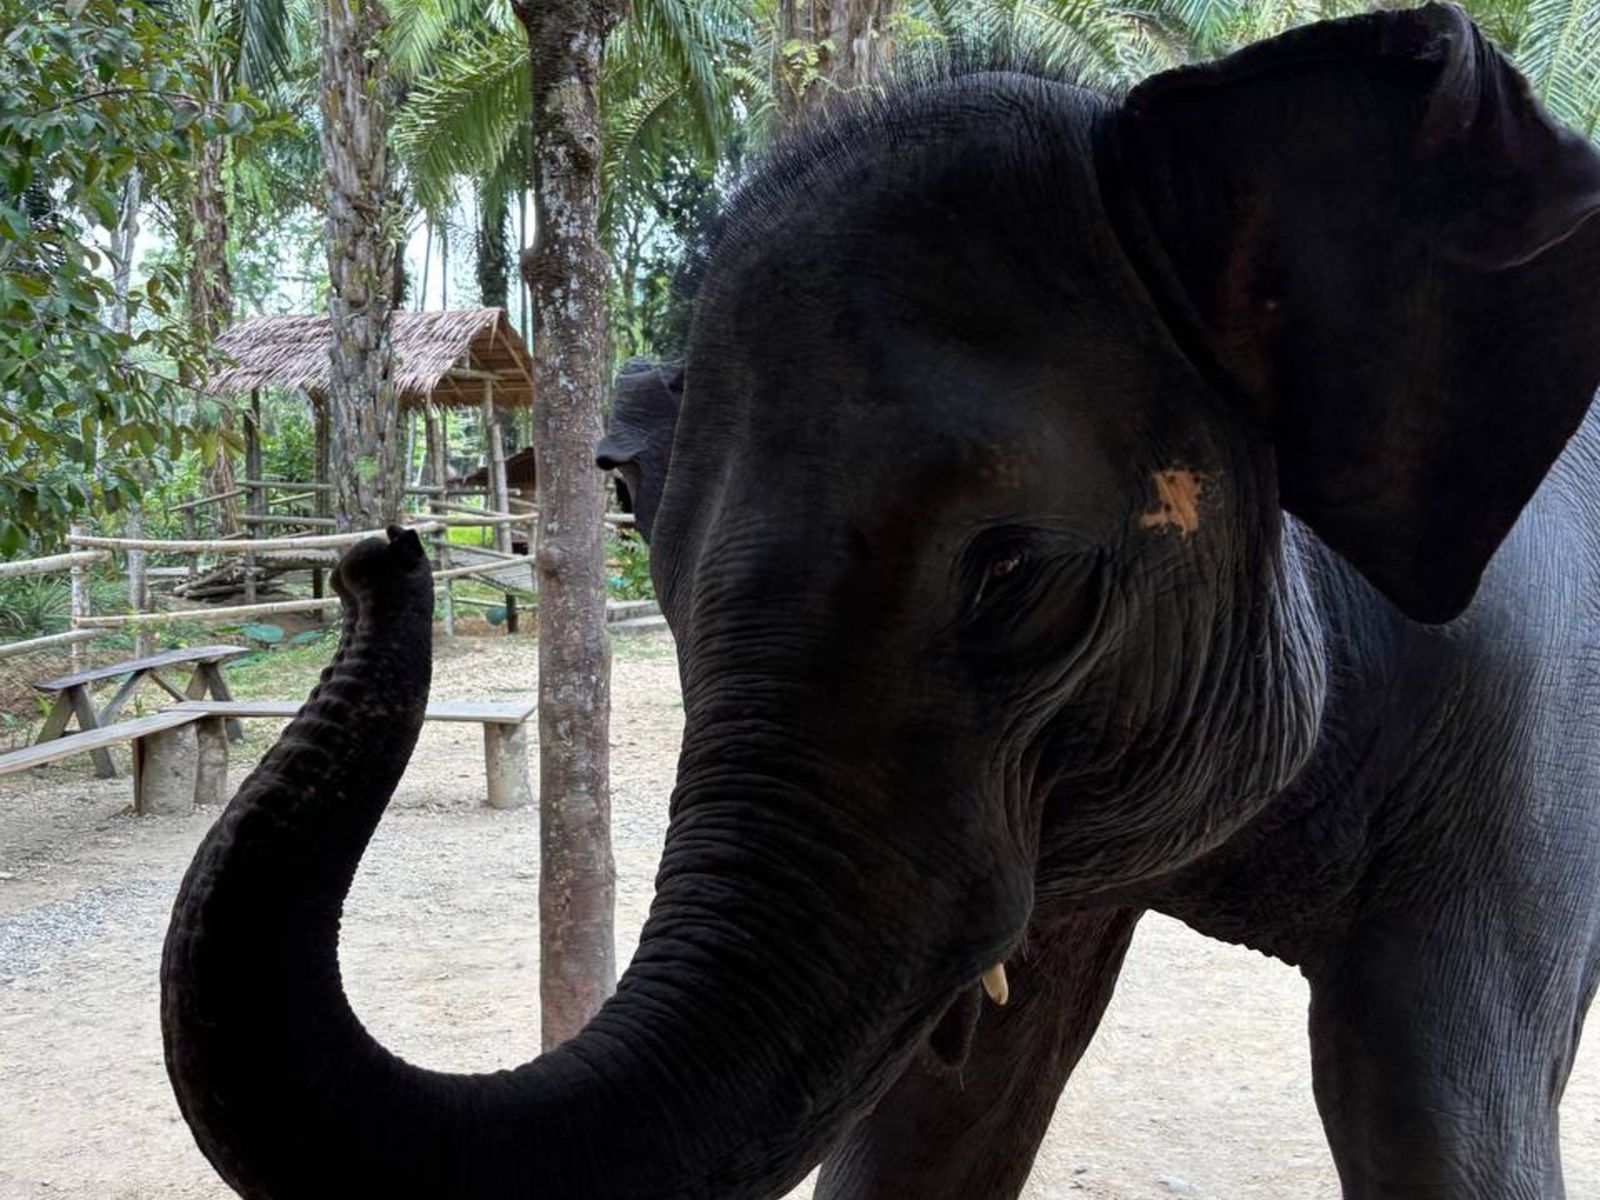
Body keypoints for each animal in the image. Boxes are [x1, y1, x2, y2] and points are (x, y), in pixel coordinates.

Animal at [161, 6, 1600, 1199]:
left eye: (1013, 577)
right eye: (636, 515)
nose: (381, 556)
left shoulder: (1525, 726)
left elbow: (1433, 1118)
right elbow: (941, 1117)